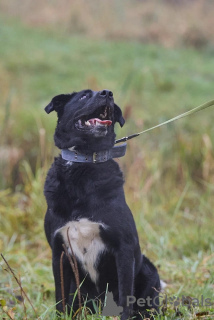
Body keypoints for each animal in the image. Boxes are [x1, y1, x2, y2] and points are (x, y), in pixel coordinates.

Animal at [44, 89, 160, 320]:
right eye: (84, 96)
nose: (107, 93)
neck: (84, 161)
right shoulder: (59, 251)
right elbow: (60, 299)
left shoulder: (123, 248)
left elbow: (125, 297)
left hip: (149, 272)